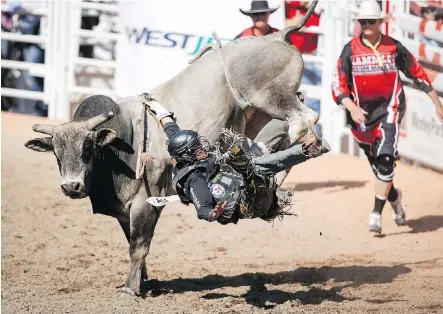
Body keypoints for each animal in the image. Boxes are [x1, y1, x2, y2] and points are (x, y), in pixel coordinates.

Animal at [24, 0, 320, 296]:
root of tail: (276, 36)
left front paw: (130, 289)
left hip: (272, 98)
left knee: (304, 120)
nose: (71, 187)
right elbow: (132, 243)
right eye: (56, 153)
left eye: (88, 148)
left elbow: (138, 246)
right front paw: (142, 281)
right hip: (259, 114)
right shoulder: (123, 211)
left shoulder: (144, 202)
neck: (122, 141)